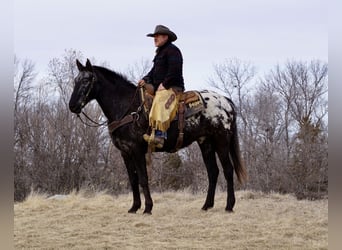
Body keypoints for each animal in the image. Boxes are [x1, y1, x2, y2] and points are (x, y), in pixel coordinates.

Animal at [69, 59, 246, 214]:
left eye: (86, 80)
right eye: (76, 80)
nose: (72, 106)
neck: (127, 108)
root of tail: (226, 102)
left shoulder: (137, 150)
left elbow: (143, 178)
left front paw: (147, 208)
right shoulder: (125, 152)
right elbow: (133, 180)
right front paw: (134, 207)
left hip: (221, 141)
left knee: (228, 170)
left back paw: (229, 206)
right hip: (205, 143)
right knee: (213, 172)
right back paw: (206, 206)